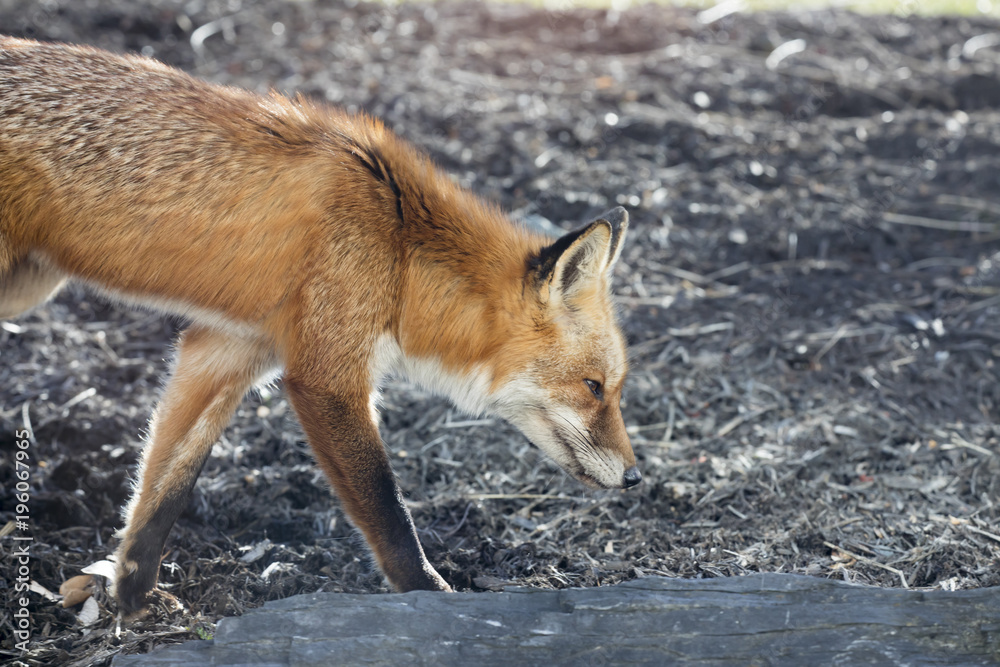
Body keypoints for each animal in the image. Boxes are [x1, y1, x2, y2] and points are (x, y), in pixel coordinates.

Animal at [0, 36, 640, 616]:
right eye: (593, 387)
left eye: (614, 389)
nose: (636, 479)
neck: (398, 242)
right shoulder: (325, 377)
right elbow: (389, 509)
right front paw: (434, 597)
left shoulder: (224, 349)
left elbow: (166, 482)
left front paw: (132, 593)